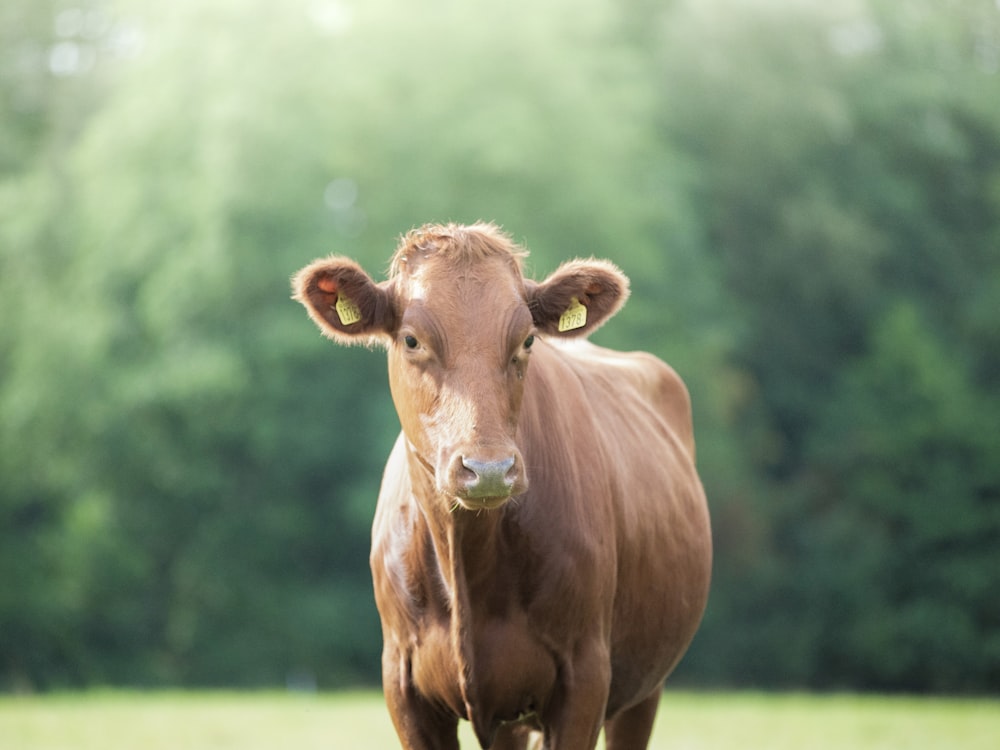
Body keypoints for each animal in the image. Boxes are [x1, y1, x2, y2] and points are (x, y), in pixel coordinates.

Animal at [290, 225, 712, 750]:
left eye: (527, 339)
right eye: (411, 339)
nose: (488, 468)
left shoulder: (585, 676)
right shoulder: (403, 684)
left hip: (644, 687)